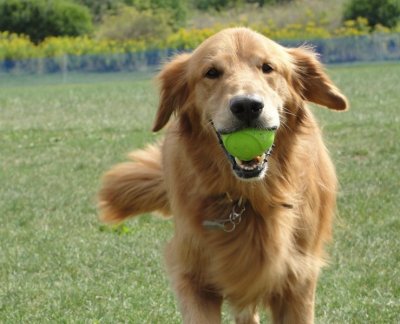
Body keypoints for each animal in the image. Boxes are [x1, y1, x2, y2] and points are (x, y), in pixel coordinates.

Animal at [99, 27, 346, 324]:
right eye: (212, 72)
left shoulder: (298, 281)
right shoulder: (193, 275)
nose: (247, 106)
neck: (247, 198)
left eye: (267, 67)